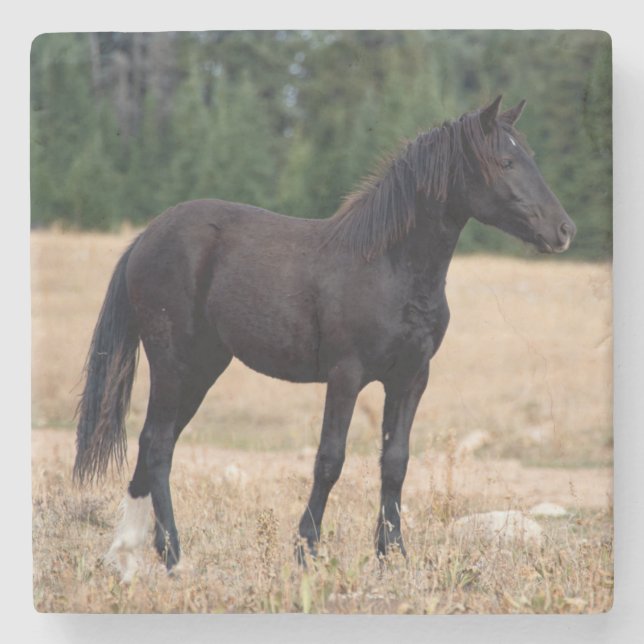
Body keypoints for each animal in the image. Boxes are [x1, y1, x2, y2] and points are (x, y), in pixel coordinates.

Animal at [73, 95, 576, 580]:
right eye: (505, 162)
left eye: (529, 156)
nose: (564, 230)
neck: (389, 266)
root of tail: (146, 237)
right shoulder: (346, 375)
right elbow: (330, 460)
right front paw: (306, 552)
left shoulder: (411, 378)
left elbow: (395, 463)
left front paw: (393, 557)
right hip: (172, 362)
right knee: (157, 445)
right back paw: (174, 558)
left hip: (203, 368)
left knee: (154, 446)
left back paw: (127, 556)